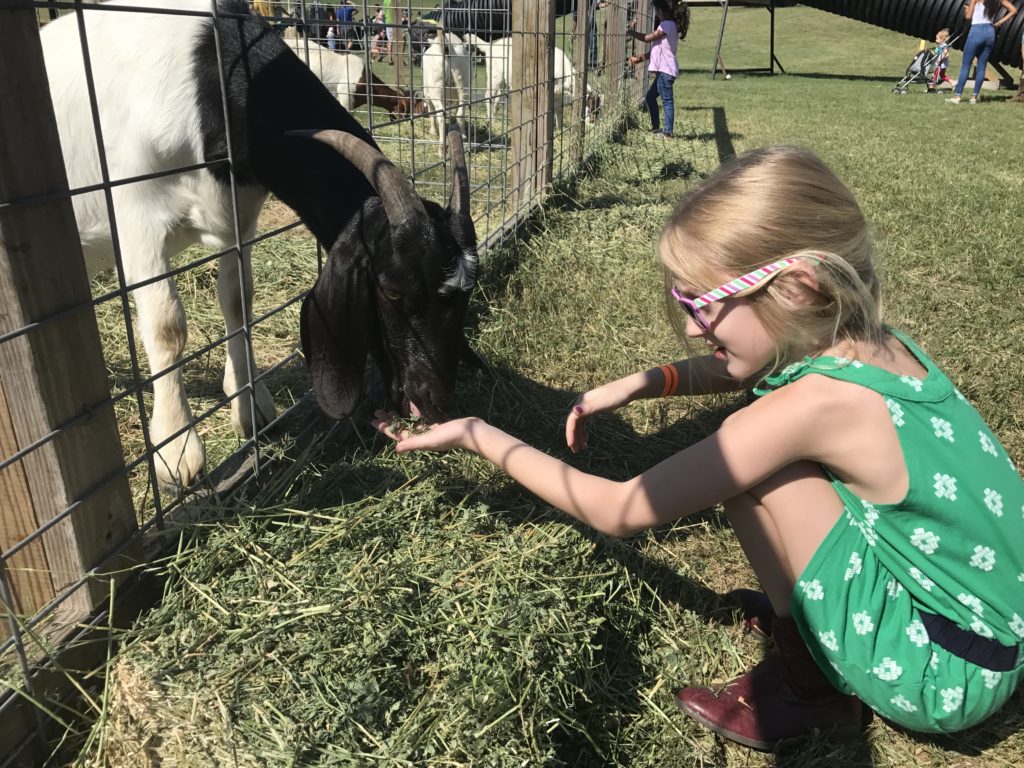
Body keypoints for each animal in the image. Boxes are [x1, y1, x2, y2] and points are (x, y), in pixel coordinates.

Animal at [41, 0, 481, 489]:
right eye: (390, 291)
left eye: (466, 293)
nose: (436, 399)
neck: (210, 71)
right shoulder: (137, 215)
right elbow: (166, 326)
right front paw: (177, 451)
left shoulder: (240, 217)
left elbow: (238, 299)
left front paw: (251, 408)